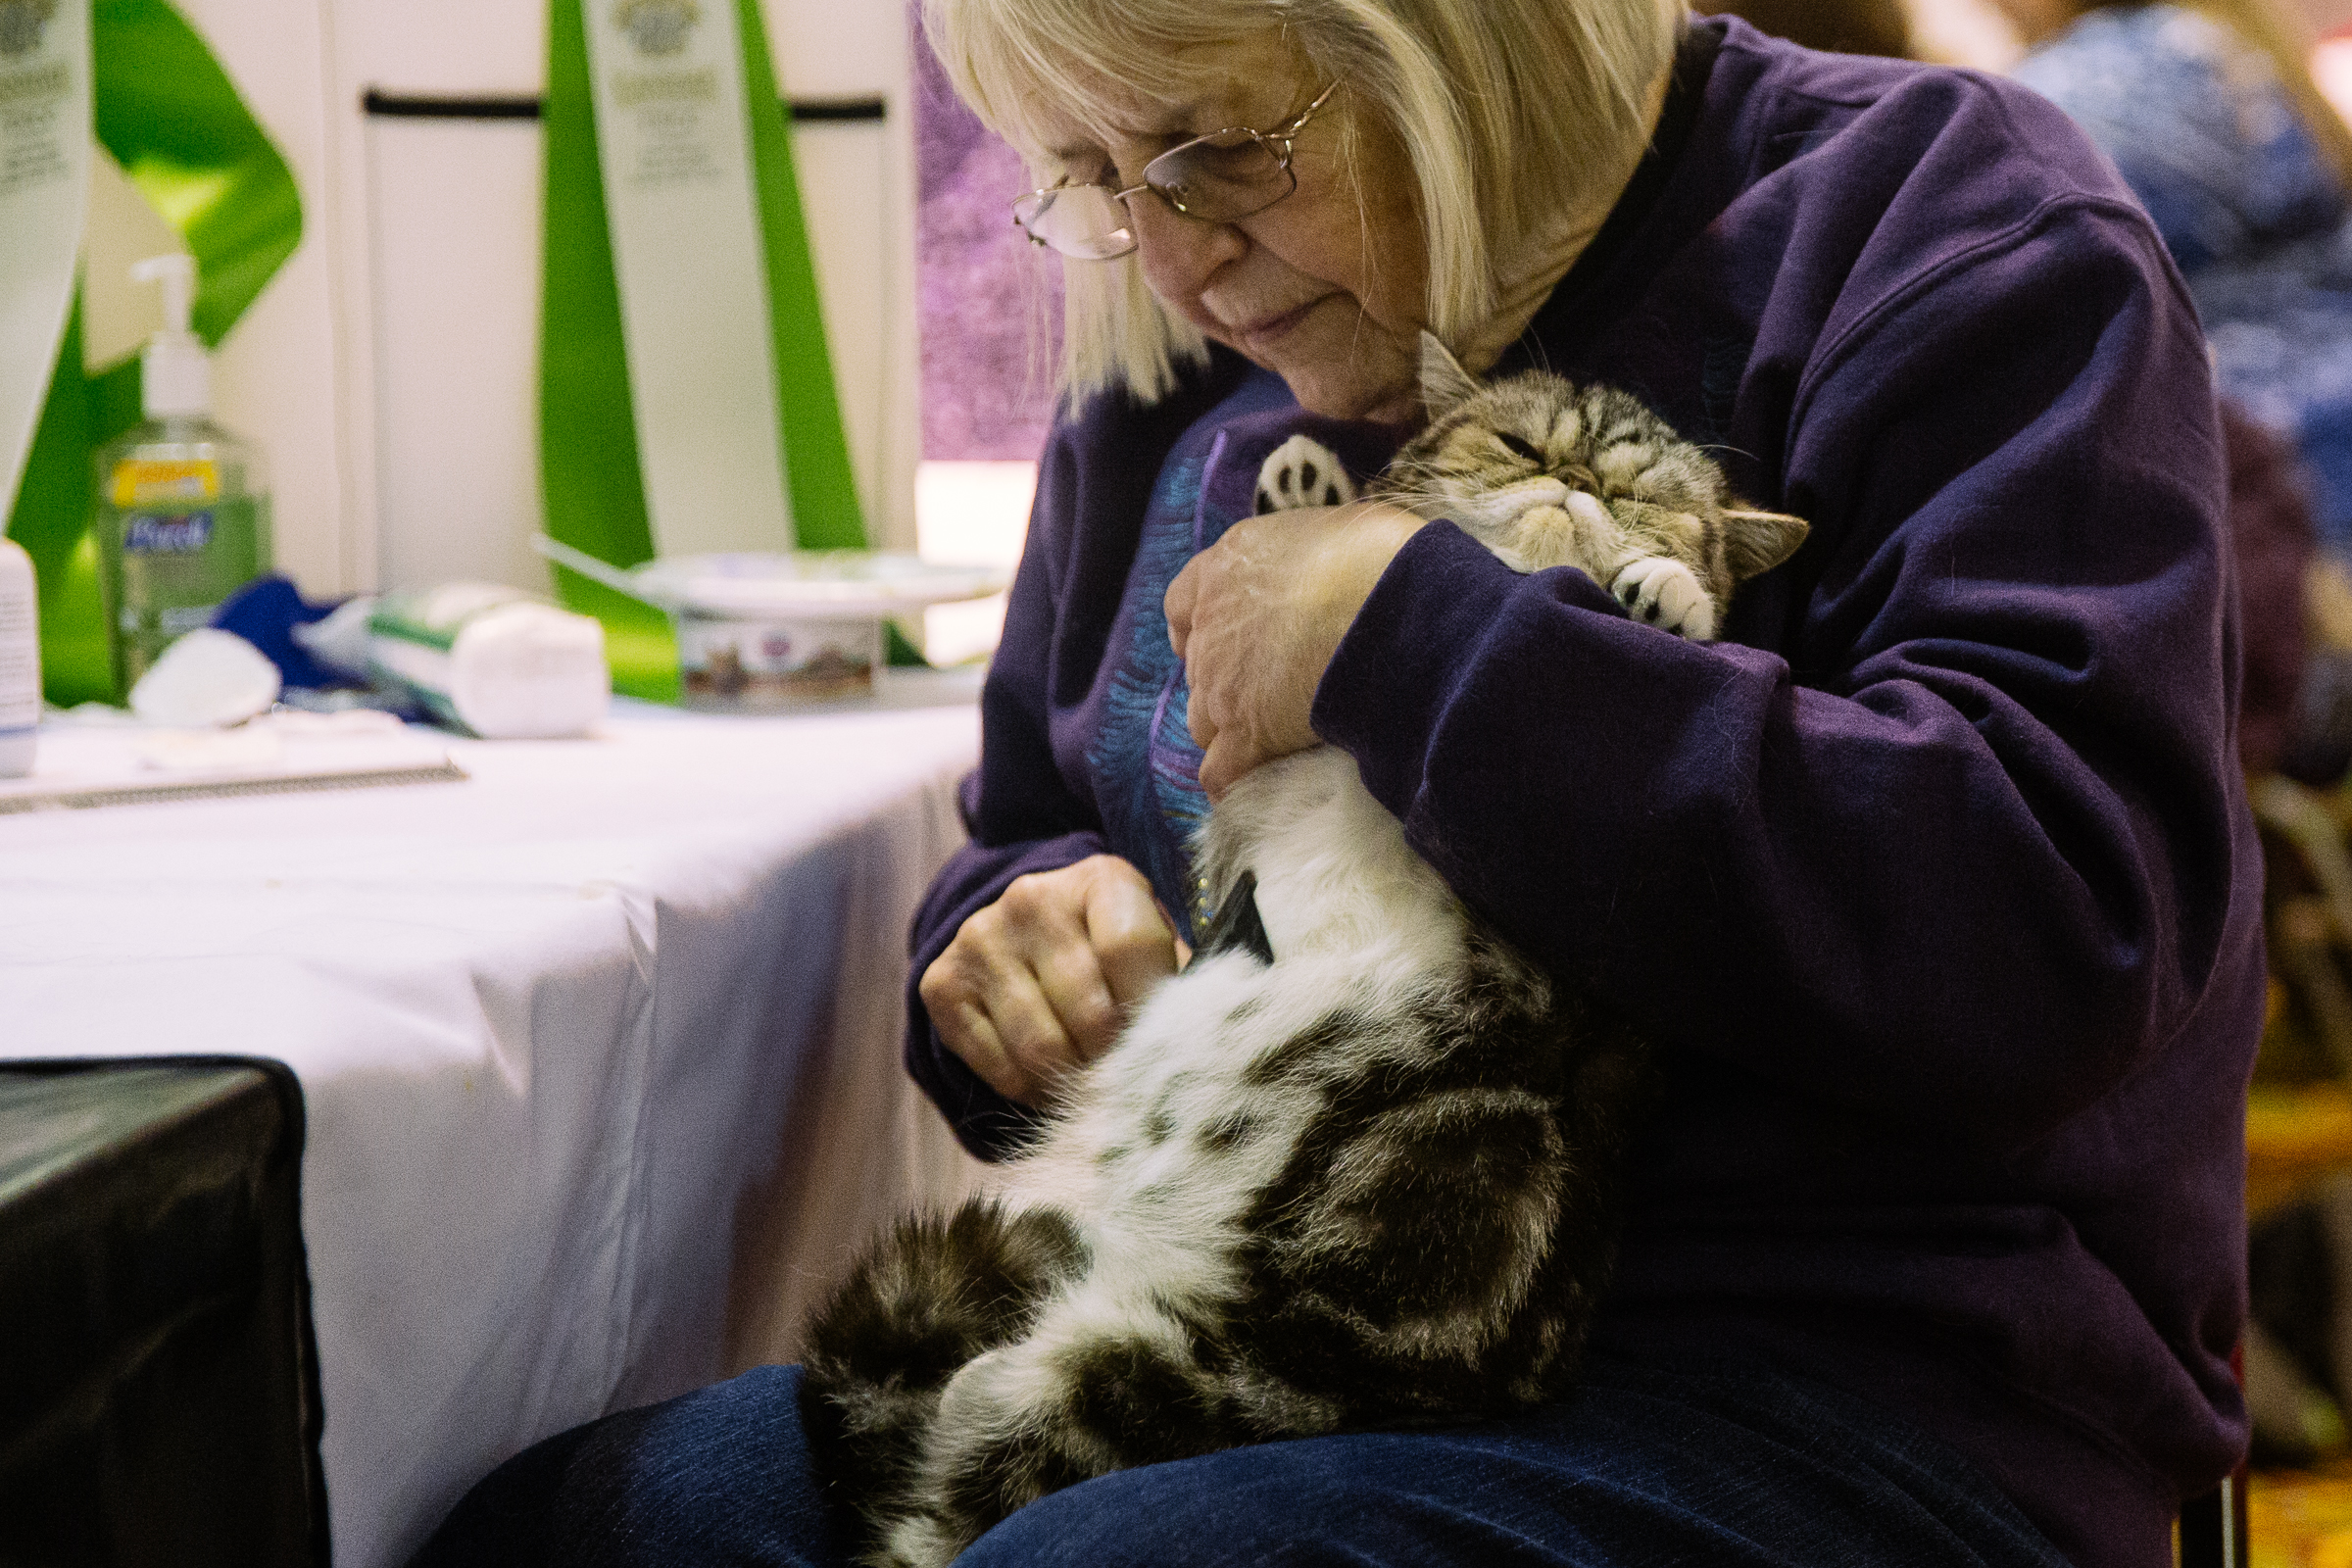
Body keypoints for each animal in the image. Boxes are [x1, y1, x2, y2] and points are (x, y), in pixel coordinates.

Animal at [800, 333, 1806, 1568]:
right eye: (1520, 443)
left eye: (1639, 494)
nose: (1572, 483)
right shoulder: (1248, 784)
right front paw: (1309, 494)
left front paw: (1663, 594)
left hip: (1157, 1374)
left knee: (973, 1480)